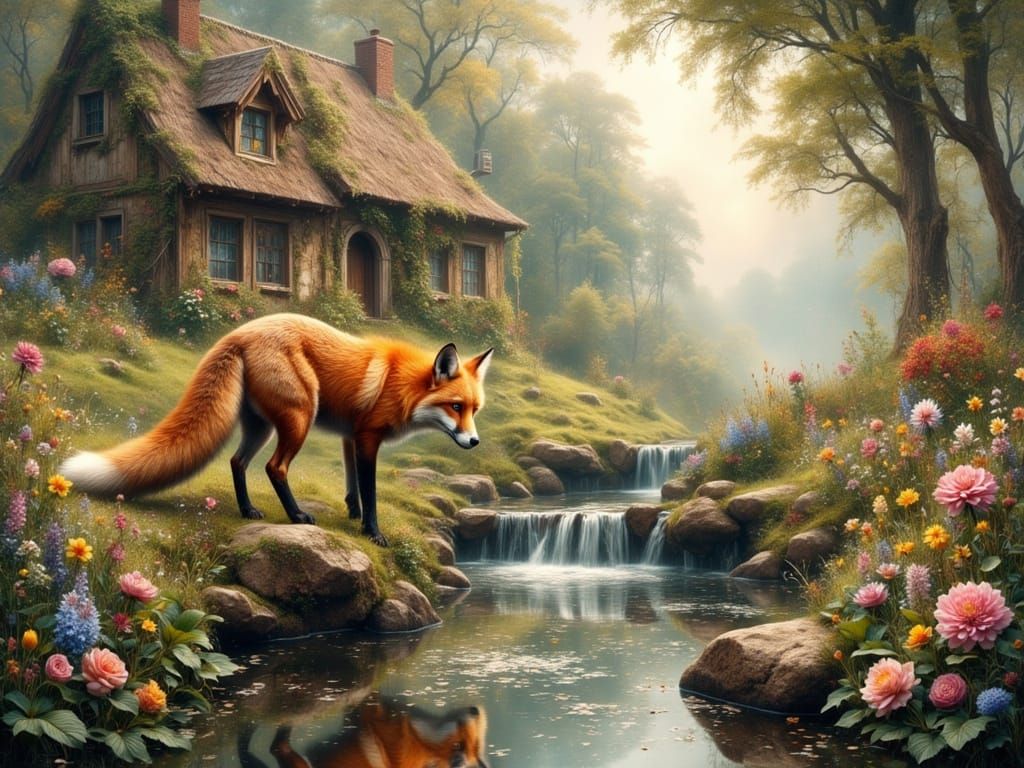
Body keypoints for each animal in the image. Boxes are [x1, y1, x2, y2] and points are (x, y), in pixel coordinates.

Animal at [59, 313, 493, 547]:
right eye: (455, 407)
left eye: (475, 410)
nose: (474, 441)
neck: (402, 384)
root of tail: (240, 332)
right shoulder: (368, 437)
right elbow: (370, 492)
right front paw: (372, 532)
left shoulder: (350, 436)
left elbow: (352, 484)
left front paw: (350, 513)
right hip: (298, 418)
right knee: (274, 468)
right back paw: (297, 515)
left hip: (262, 427)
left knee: (237, 461)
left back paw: (247, 510)